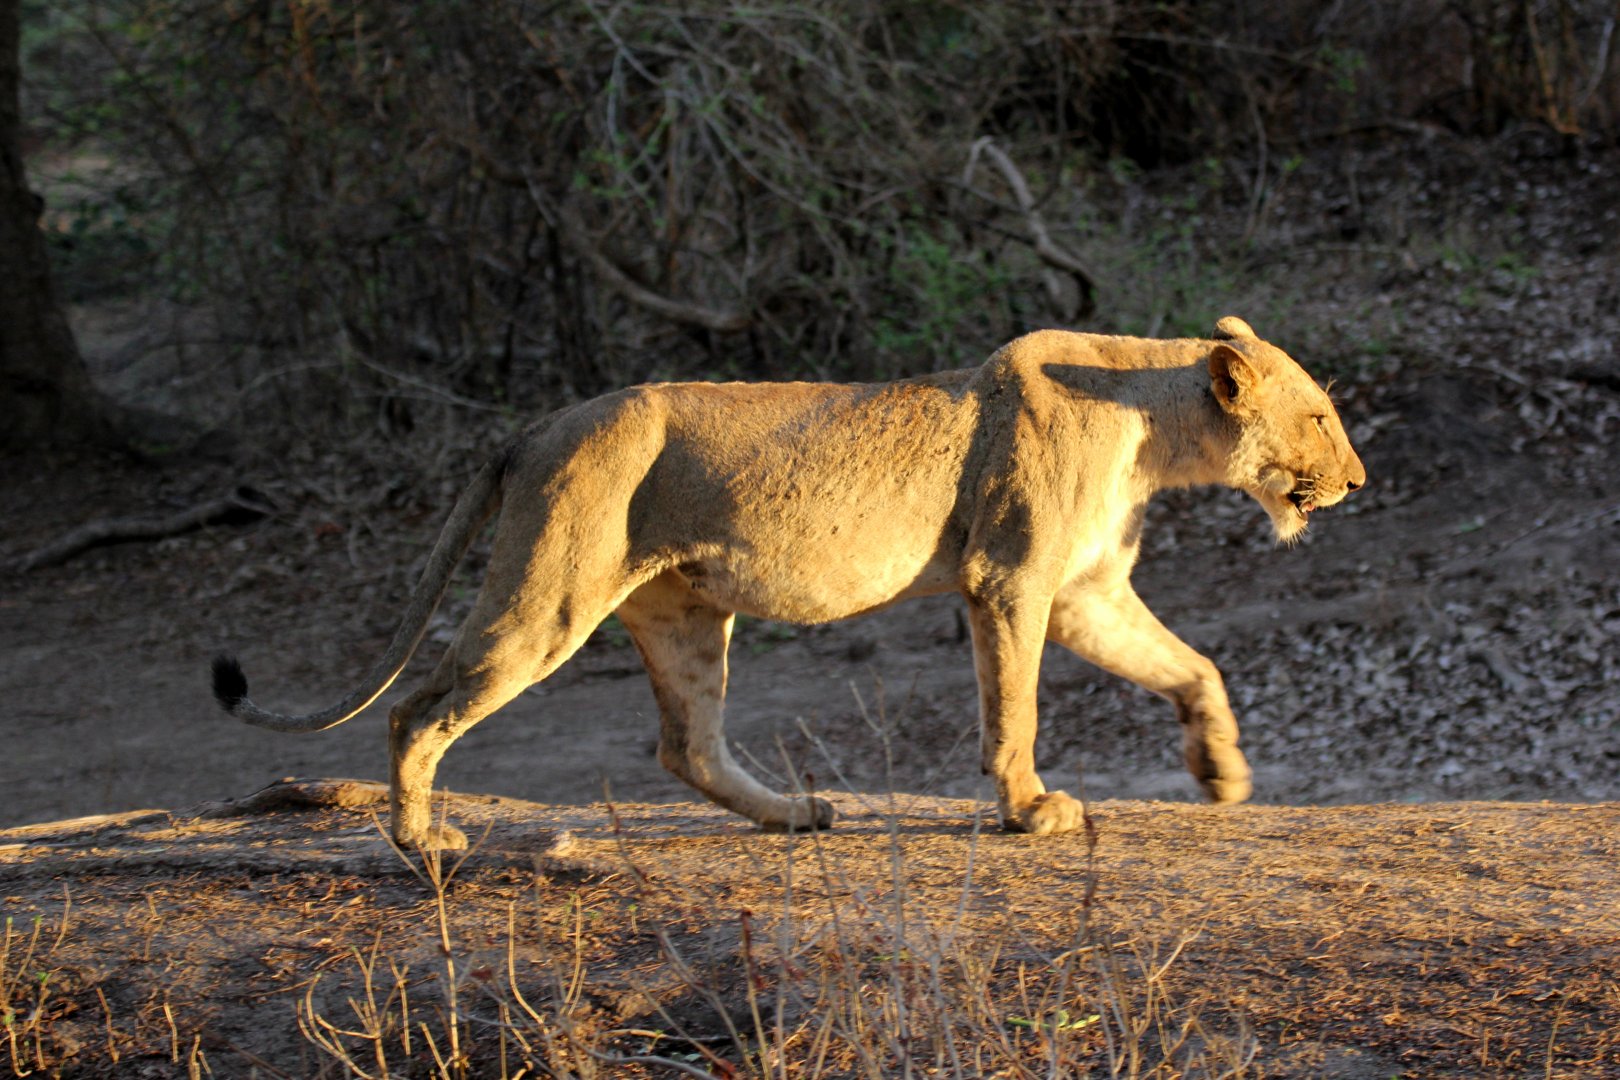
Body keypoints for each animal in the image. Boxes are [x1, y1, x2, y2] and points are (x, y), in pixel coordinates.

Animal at [213, 316, 1365, 849]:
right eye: (1319, 415)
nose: (1357, 479)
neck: (1155, 426)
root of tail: (538, 423)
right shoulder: (1009, 578)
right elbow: (1015, 712)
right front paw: (1030, 810)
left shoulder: (1083, 591)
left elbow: (1194, 666)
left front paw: (1222, 774)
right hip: (549, 597)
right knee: (417, 709)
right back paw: (421, 839)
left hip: (683, 612)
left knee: (686, 744)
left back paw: (797, 815)